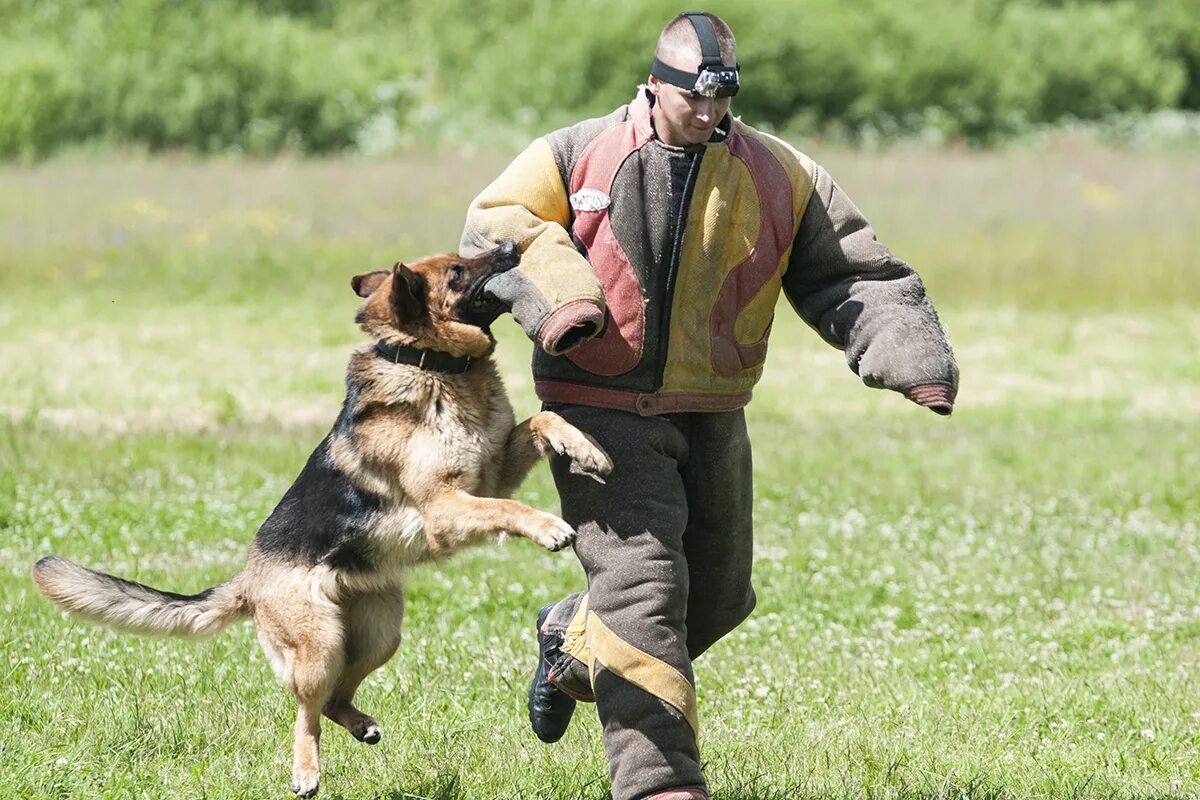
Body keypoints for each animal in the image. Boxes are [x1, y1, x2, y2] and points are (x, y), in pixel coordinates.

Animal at [30, 242, 609, 796]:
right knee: (307, 712)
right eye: (457, 272)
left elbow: (542, 420)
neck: (428, 365)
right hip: (319, 647)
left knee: (335, 699)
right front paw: (549, 526)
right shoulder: (447, 507)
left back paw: (359, 724)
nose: (513, 245)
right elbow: (508, 507)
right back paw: (305, 772)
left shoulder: (492, 472)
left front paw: (588, 449)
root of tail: (248, 580)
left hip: (379, 634)